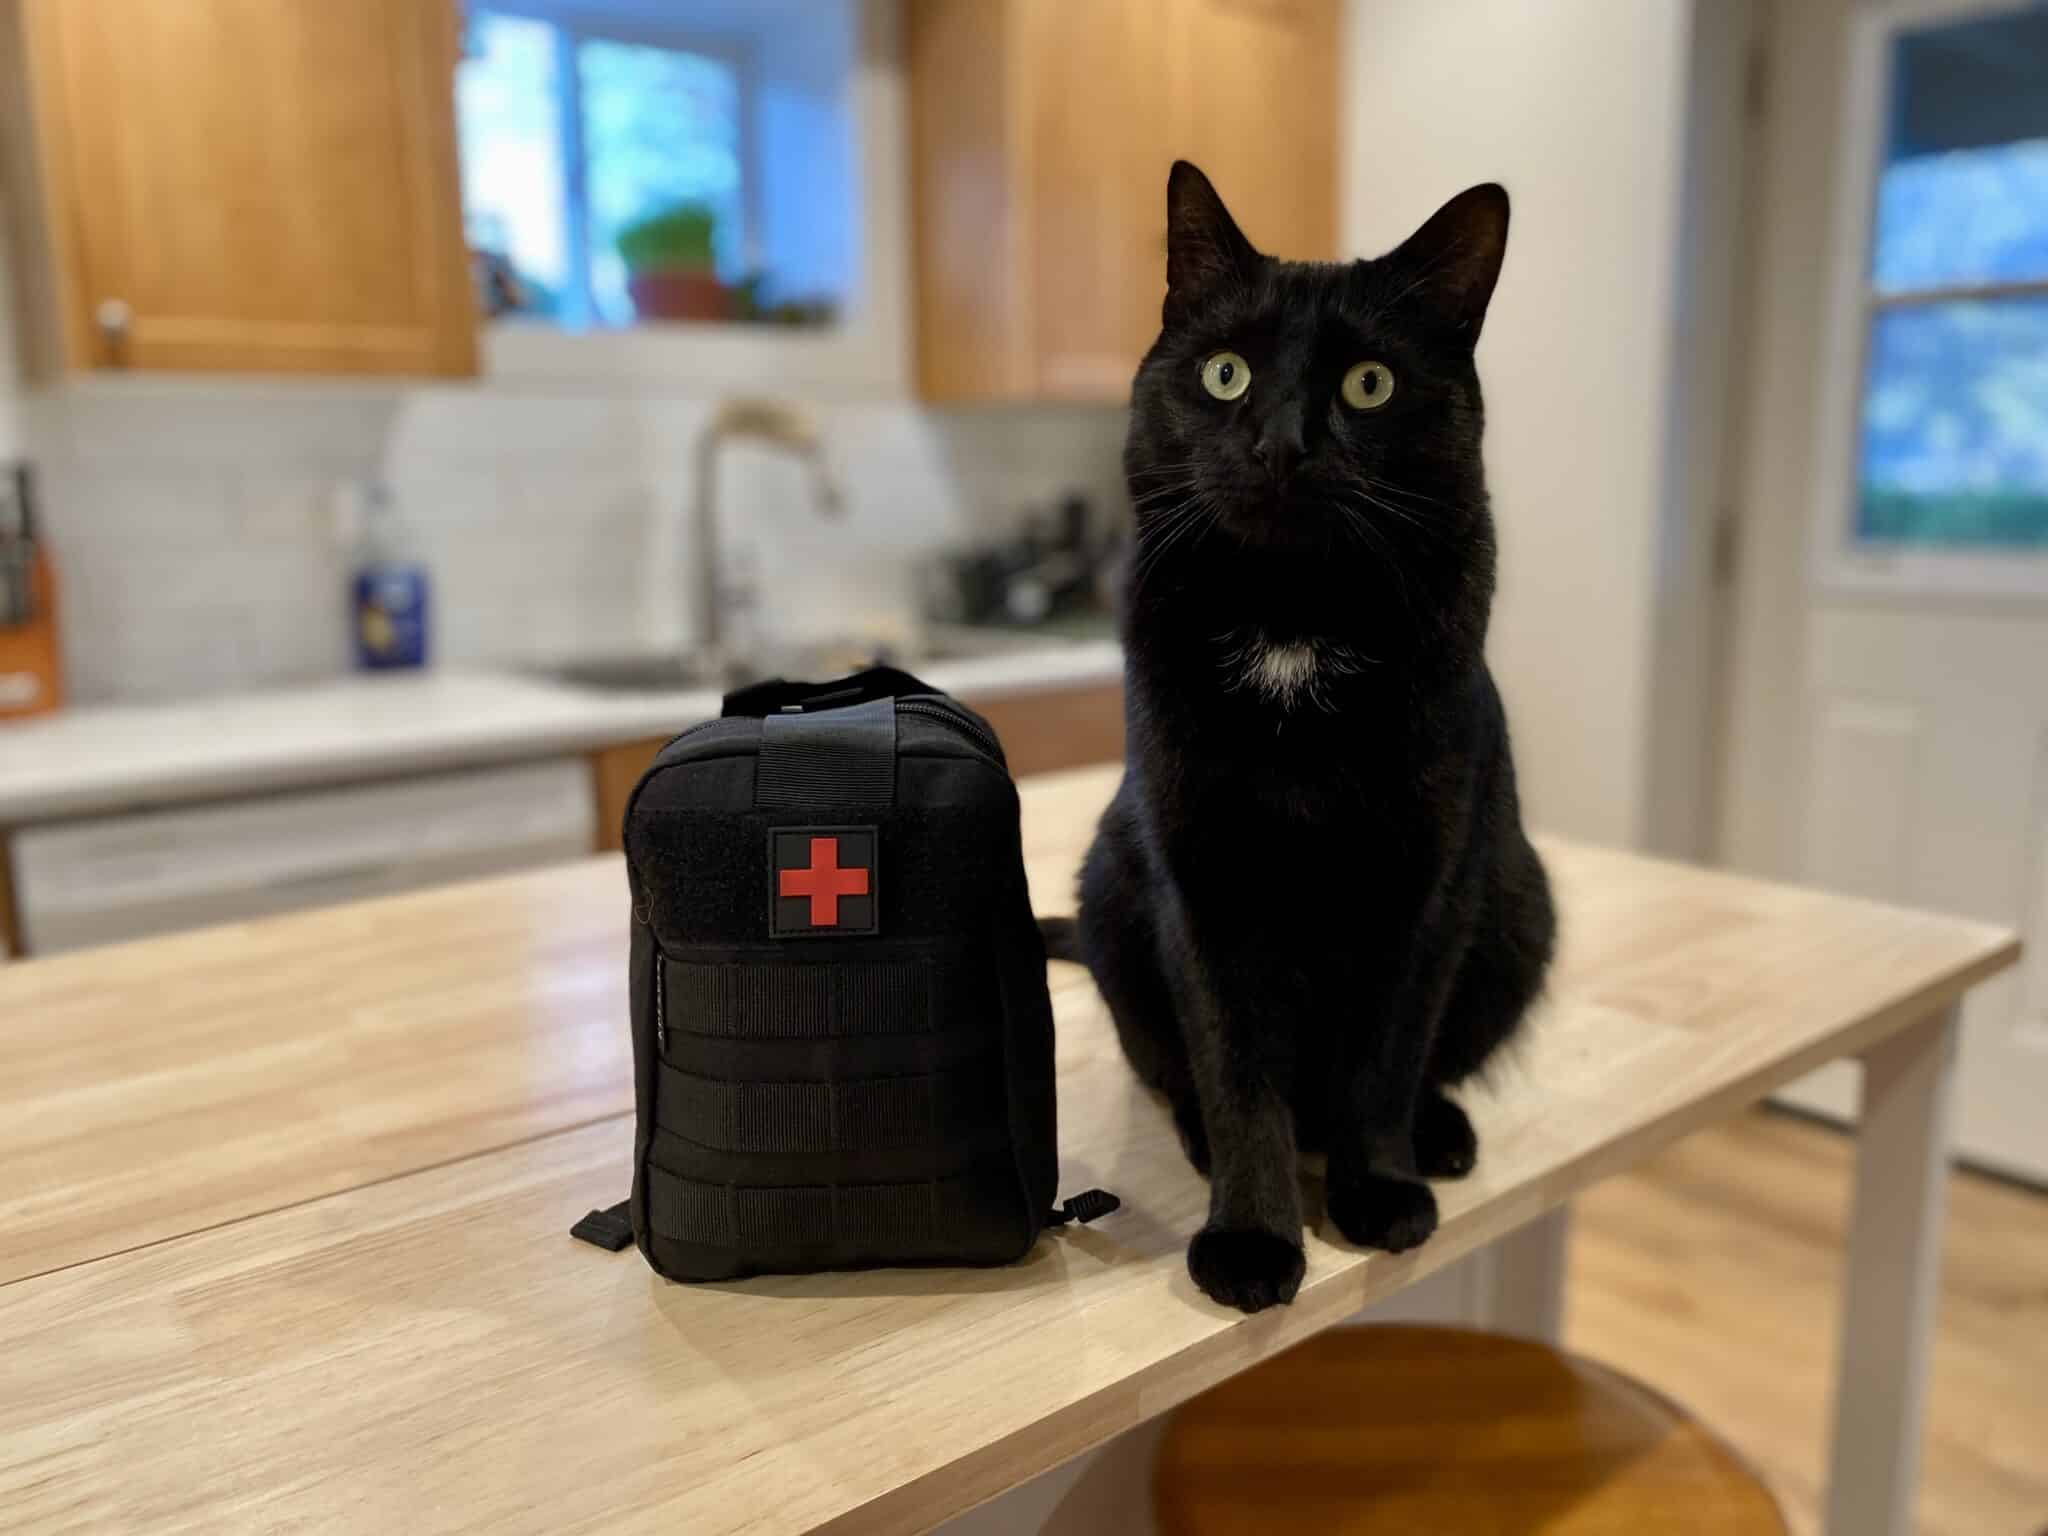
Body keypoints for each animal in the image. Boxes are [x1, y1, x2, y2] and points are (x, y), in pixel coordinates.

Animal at [1048, 162, 1556, 1318]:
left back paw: (1439, 1138)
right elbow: (1237, 1071)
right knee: (1176, 1072)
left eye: (1369, 385)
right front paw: (1250, 1238)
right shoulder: (1198, 884)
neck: (1293, 628)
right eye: (1224, 373)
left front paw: (1378, 1195)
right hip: (1109, 892)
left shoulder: (1428, 882)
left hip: (1520, 905)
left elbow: (1387, 1056)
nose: (1279, 442)